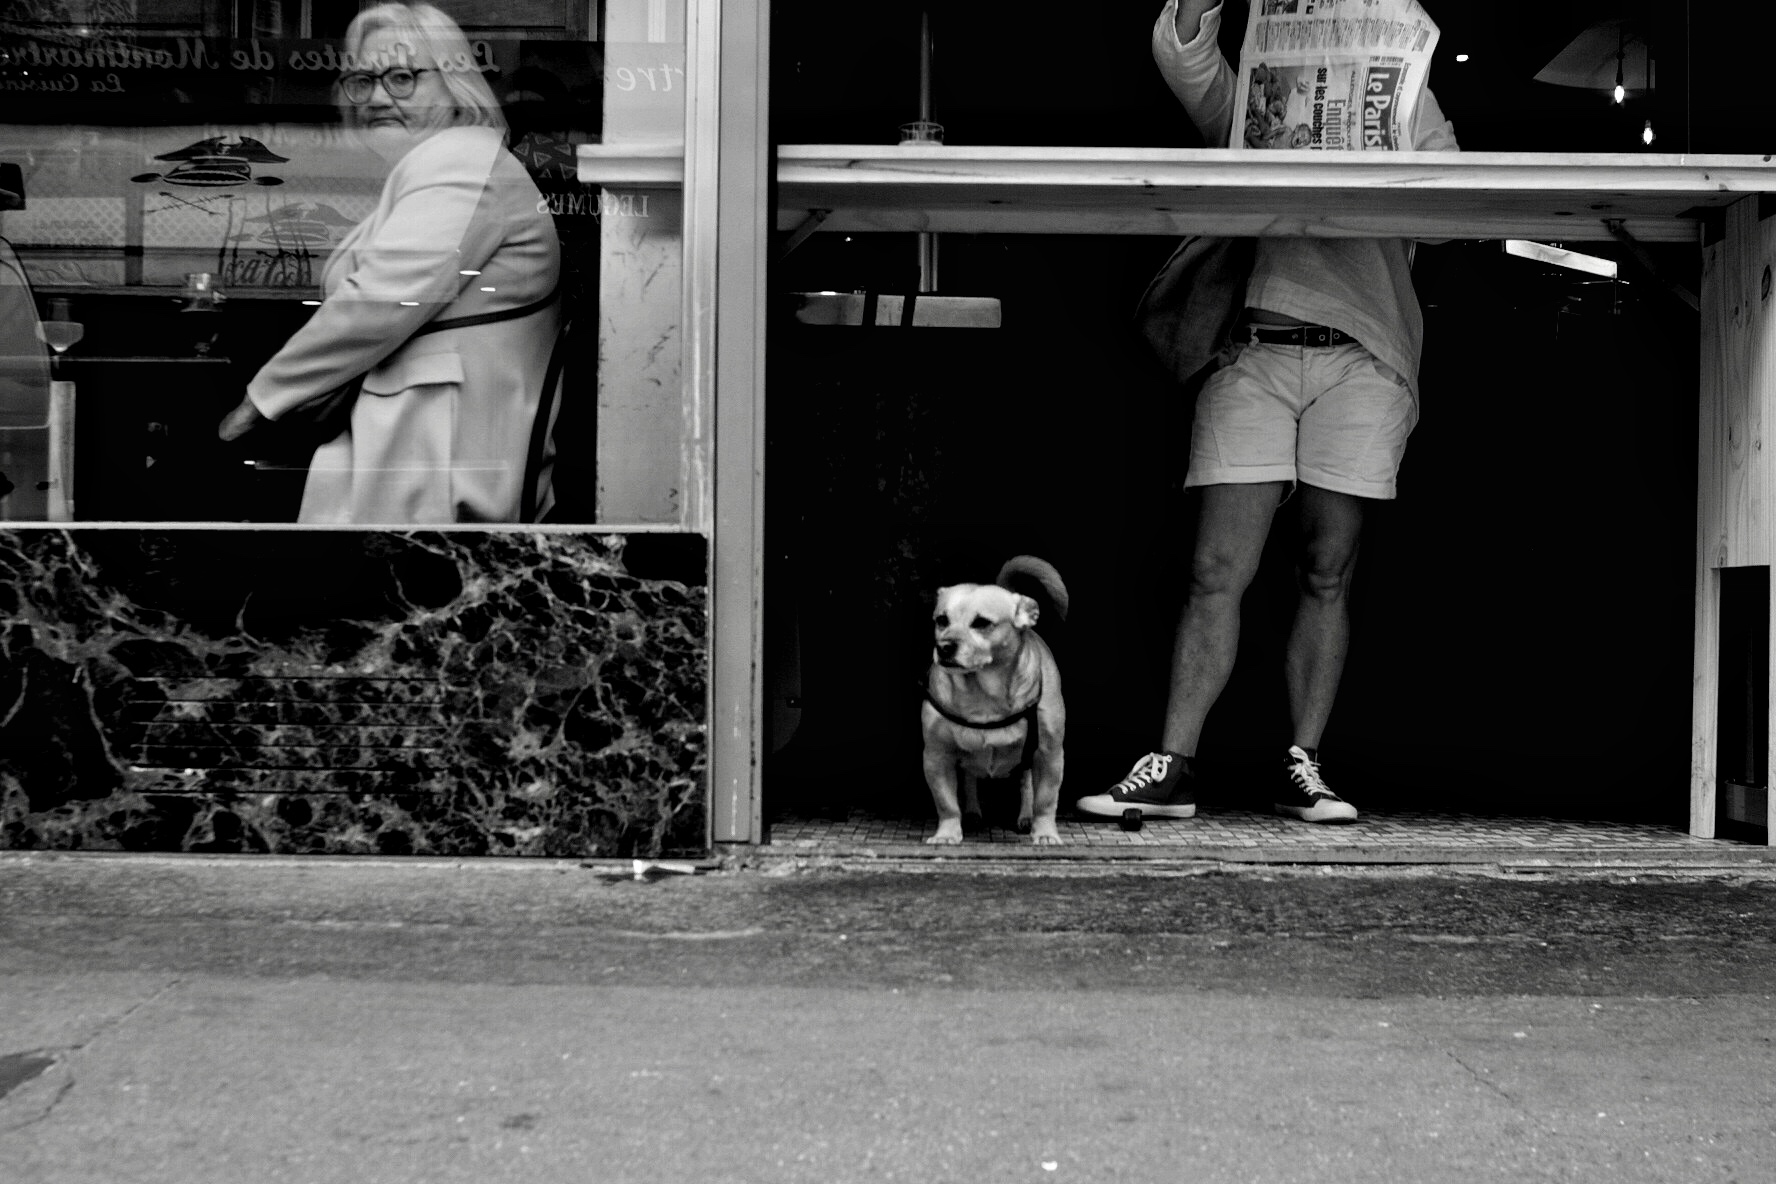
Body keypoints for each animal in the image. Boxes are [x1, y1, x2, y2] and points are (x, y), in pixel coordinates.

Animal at [916, 557, 1065, 841]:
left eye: (982, 623)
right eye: (941, 620)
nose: (944, 647)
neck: (982, 693)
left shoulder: (1049, 754)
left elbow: (1045, 799)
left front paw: (1045, 832)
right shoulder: (937, 757)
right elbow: (946, 802)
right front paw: (947, 834)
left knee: (1026, 784)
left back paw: (1025, 817)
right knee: (969, 779)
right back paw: (973, 813)